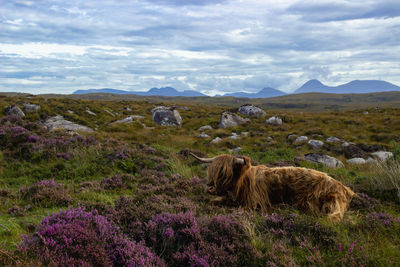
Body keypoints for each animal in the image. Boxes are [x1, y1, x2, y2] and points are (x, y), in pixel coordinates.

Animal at [192, 153, 354, 222]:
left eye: (225, 174)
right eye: (212, 171)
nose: (210, 188)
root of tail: (345, 189)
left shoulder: (255, 204)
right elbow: (213, 202)